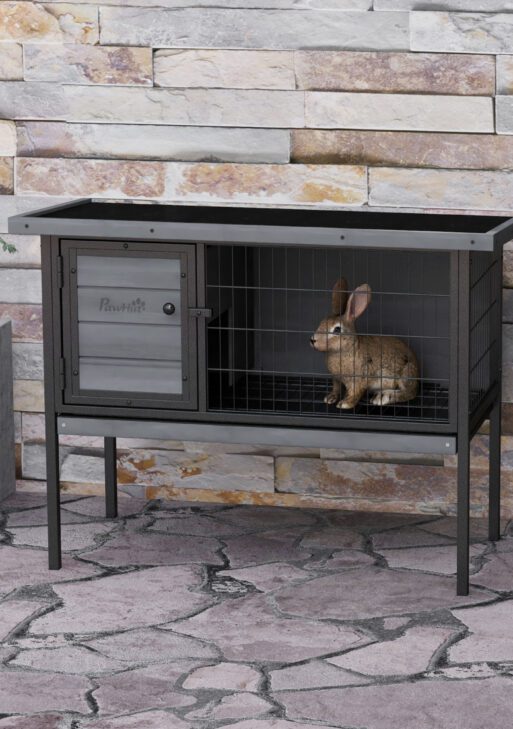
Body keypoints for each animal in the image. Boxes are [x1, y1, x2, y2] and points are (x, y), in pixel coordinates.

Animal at [310, 278, 419, 410]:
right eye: (322, 322)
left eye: (337, 330)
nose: (313, 340)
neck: (346, 349)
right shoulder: (336, 379)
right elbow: (336, 388)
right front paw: (330, 398)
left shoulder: (359, 380)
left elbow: (355, 393)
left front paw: (345, 403)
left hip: (405, 373)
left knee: (409, 393)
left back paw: (382, 397)